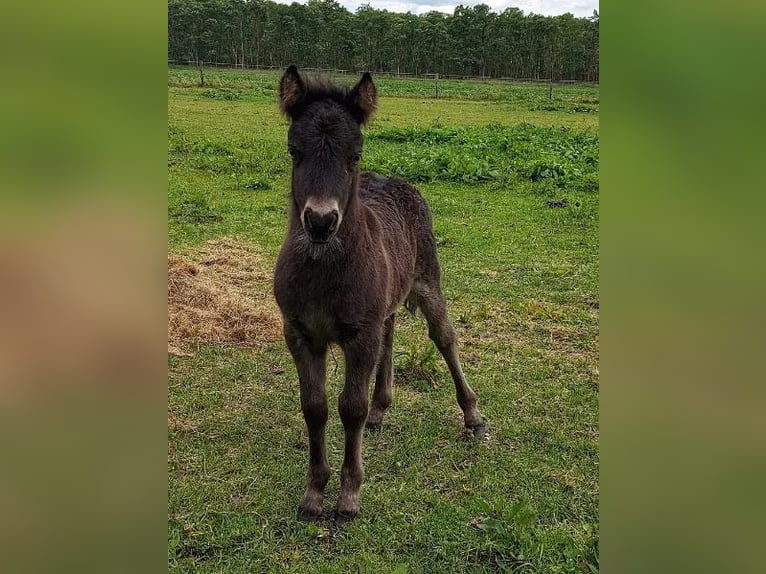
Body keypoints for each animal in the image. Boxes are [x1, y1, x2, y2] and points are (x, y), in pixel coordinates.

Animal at [272, 66, 484, 520]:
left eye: (355, 155)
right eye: (294, 151)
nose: (320, 222)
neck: (324, 273)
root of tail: (400, 183)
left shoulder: (360, 333)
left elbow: (350, 407)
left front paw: (350, 494)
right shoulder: (299, 333)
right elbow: (314, 406)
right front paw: (314, 492)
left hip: (427, 282)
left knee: (444, 337)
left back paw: (473, 416)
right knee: (390, 334)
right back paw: (382, 407)